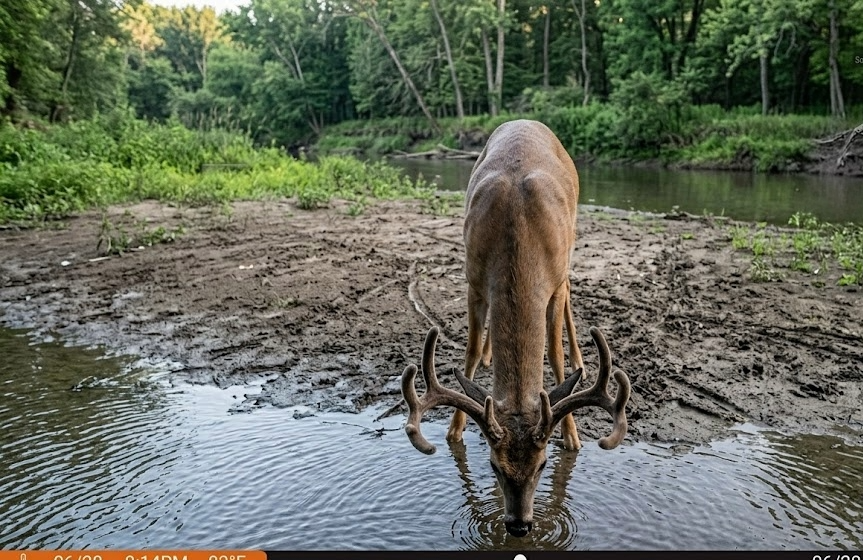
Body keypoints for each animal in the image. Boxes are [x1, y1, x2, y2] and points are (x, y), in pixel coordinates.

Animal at [401, 119, 631, 537]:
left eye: (542, 464)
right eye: (495, 465)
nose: (520, 526)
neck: (519, 233)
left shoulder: (553, 284)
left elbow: (553, 357)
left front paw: (572, 435)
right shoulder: (474, 280)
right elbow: (470, 352)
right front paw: (455, 429)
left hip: (570, 253)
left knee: (571, 304)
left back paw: (580, 358)